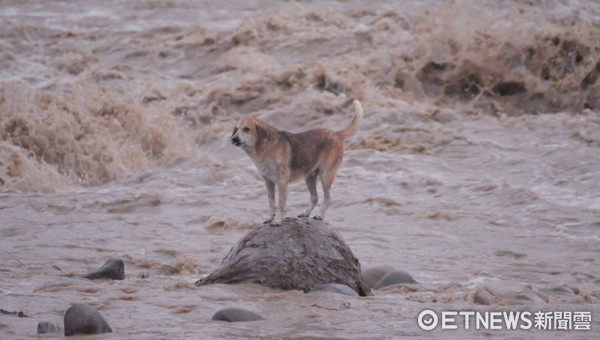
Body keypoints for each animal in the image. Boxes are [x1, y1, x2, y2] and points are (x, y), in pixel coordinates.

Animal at [229, 99, 360, 226]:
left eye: (246, 129)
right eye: (236, 129)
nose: (233, 139)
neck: (264, 148)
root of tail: (335, 134)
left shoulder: (282, 183)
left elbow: (280, 205)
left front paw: (277, 221)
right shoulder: (269, 182)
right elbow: (271, 203)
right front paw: (270, 218)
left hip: (325, 176)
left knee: (327, 198)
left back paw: (320, 215)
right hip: (310, 177)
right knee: (314, 197)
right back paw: (305, 213)